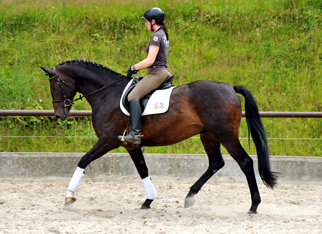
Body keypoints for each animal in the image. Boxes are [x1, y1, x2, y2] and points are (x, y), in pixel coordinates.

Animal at [40, 59, 276, 213]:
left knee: (245, 162)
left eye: (54, 85)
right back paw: (190, 197)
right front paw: (148, 200)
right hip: (208, 135)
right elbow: (143, 170)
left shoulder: (107, 140)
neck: (107, 93)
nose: (59, 115)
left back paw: (254, 206)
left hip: (226, 135)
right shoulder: (131, 145)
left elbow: (83, 160)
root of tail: (229, 88)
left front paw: (69, 197)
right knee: (216, 163)